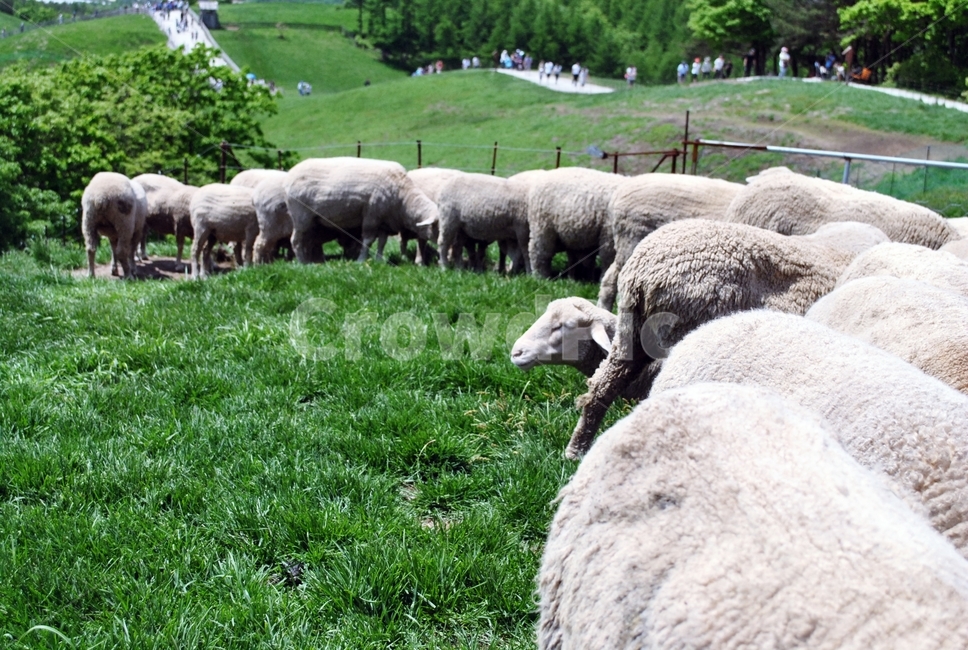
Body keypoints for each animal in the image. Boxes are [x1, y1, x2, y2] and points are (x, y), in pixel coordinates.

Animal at [285, 157, 438, 264]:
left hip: (312, 220)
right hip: (300, 215)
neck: (403, 198)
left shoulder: (384, 221)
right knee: (295, 240)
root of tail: (290, 175)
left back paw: (311, 261)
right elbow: (368, 240)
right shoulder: (372, 215)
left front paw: (379, 260)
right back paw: (303, 263)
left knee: (307, 240)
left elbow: (382, 242)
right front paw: (361, 260)